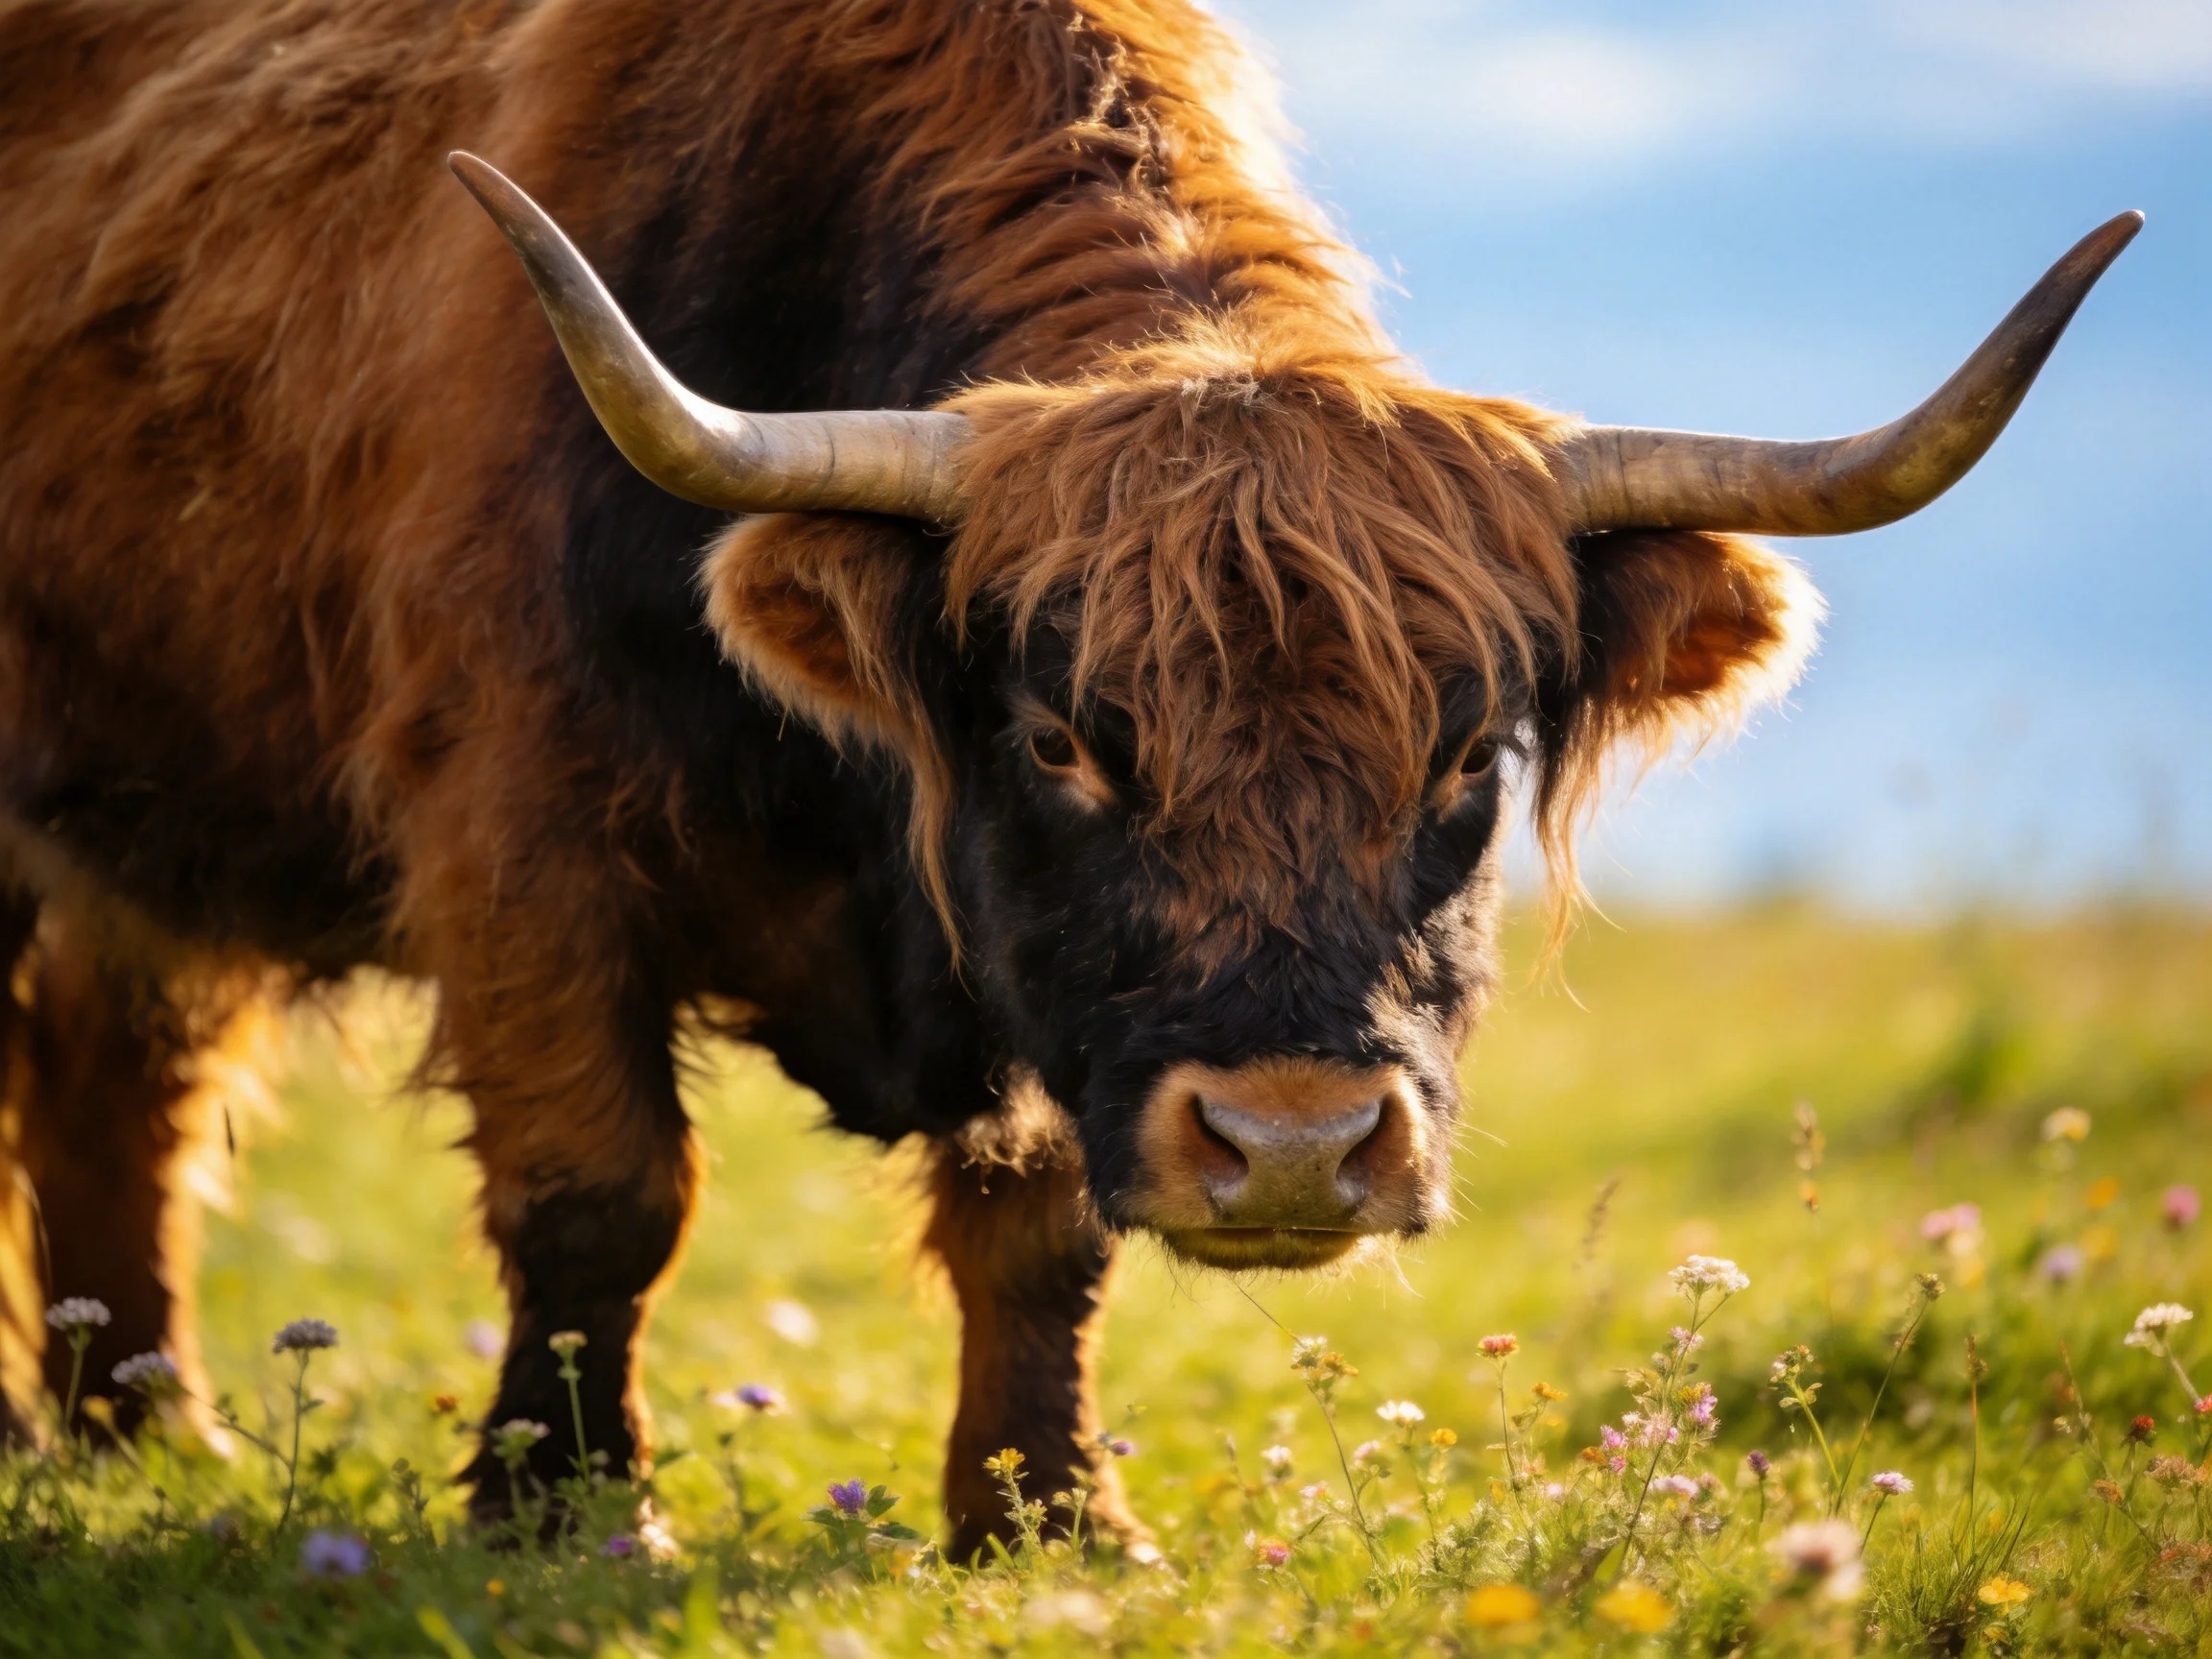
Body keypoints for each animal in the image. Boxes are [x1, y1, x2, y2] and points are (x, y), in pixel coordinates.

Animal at [0, 0, 2134, 1555]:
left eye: (1468, 748)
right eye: (1060, 737)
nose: (1294, 1145)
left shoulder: (1048, 1022)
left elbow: (1039, 1229)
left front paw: (1045, 1520)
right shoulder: (520, 833)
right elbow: (602, 1190)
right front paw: (569, 1520)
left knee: (121, 1068)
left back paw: (149, 1433)